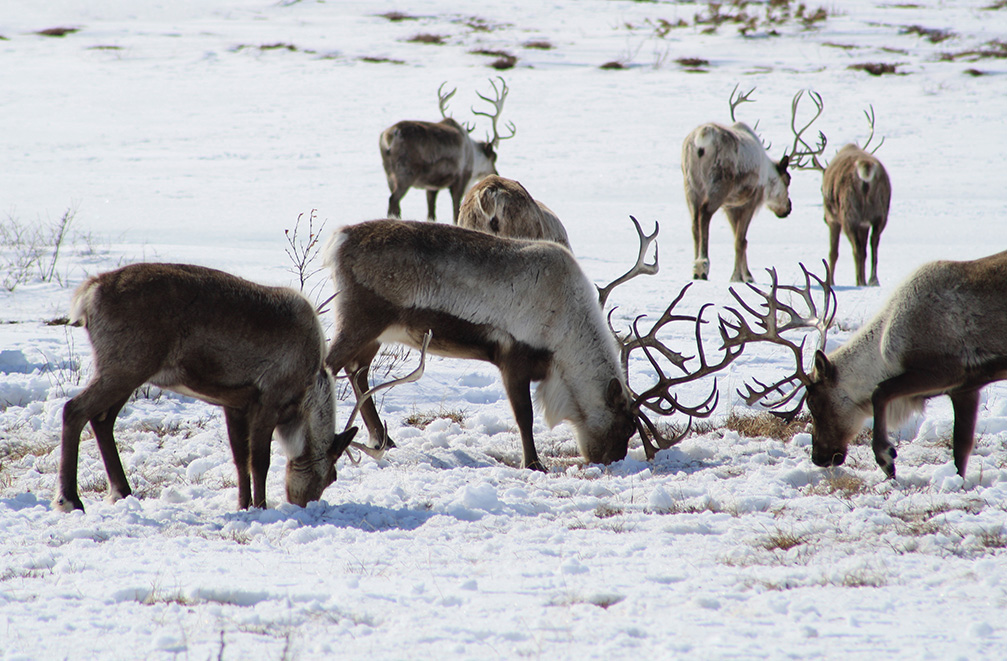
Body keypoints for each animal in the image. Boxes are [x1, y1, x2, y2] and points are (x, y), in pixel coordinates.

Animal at [52, 262, 424, 513]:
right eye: (332, 475)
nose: (304, 504)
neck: (308, 389)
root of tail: (88, 294)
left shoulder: (234, 404)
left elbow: (239, 459)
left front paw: (244, 505)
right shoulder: (269, 399)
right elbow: (260, 460)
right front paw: (261, 506)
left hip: (130, 371)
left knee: (102, 419)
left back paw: (122, 491)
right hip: (125, 365)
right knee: (74, 410)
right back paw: (70, 499)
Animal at [323, 218, 736, 470]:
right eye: (626, 426)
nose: (606, 460)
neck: (567, 328)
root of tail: (340, 237)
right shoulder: (514, 358)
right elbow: (525, 417)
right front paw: (534, 463)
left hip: (377, 332)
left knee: (357, 372)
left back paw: (384, 439)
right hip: (360, 319)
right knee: (330, 364)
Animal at [380, 78, 515, 223]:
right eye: (494, 156)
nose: (496, 173)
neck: (473, 154)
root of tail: (388, 137)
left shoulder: (432, 187)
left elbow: (431, 214)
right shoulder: (460, 180)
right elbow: (456, 212)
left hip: (389, 175)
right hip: (405, 174)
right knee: (393, 200)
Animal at [725, 254, 1007, 480]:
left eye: (813, 403)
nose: (818, 457)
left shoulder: (947, 369)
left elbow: (879, 391)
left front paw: (886, 458)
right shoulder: (966, 388)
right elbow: (961, 446)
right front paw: (957, 481)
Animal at [793, 105, 891, 287]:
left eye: (820, 189)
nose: (823, 219)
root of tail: (865, 169)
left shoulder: (833, 220)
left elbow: (833, 252)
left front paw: (830, 280)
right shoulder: (864, 224)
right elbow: (864, 250)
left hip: (848, 213)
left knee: (856, 249)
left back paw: (861, 282)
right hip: (880, 213)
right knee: (873, 245)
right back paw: (872, 280)